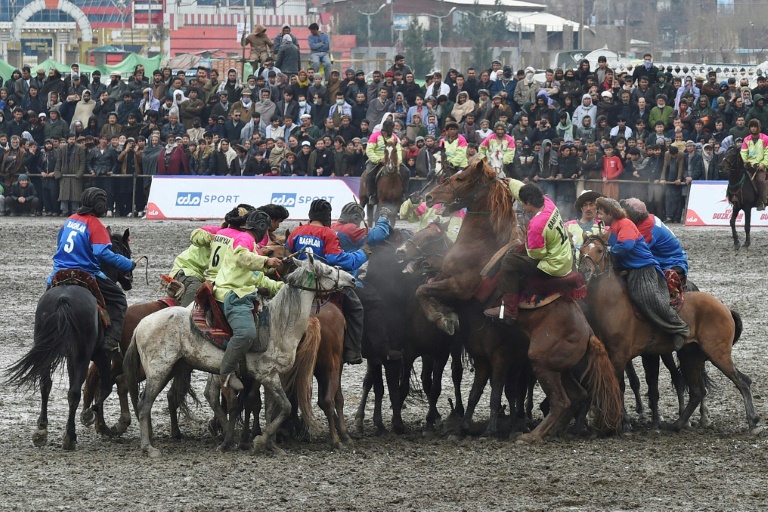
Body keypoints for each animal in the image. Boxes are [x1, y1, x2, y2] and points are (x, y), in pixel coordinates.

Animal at [7, 228, 134, 448]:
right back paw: (70, 437)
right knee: (74, 392)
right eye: (126, 251)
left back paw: (41, 430)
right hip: (82, 355)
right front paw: (94, 419)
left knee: (45, 384)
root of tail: (63, 299)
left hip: (49, 352)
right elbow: (104, 387)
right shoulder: (101, 355)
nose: (129, 280)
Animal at [123, 256, 356, 456]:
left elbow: (273, 410)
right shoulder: (267, 376)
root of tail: (141, 325)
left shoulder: (272, 377)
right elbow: (285, 407)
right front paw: (259, 442)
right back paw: (148, 447)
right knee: (144, 404)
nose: (352, 279)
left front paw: (271, 445)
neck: (279, 324)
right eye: (327, 270)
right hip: (159, 371)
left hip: (173, 368)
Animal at [414, 162, 624, 442]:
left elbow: (422, 290)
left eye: (459, 178)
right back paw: (547, 431)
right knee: (576, 397)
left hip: (542, 362)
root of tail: (589, 335)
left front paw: (443, 318)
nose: (428, 197)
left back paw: (532, 435)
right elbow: (425, 286)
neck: (481, 243)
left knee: (562, 402)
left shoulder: (459, 287)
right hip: (562, 370)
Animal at [580, 234, 760, 434]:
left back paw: (752, 422)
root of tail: (725, 308)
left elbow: (619, 387)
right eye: (581, 250)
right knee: (697, 391)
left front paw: (623, 424)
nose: (585, 271)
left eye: (599, 250)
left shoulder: (620, 355)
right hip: (691, 356)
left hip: (718, 354)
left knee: (742, 381)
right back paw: (677, 424)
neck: (613, 303)